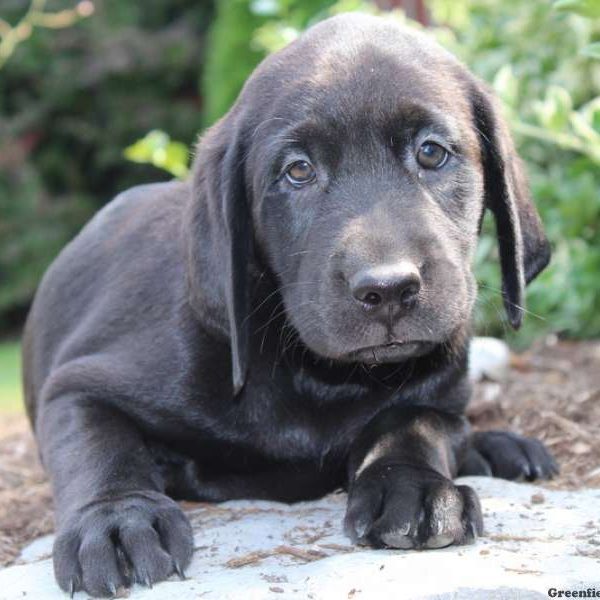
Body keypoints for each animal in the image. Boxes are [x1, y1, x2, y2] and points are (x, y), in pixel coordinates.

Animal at [23, 11, 556, 596]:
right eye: (298, 171)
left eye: (431, 152)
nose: (388, 289)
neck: (318, 375)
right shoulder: (76, 386)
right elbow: (98, 447)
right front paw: (117, 516)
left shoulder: (440, 394)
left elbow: (415, 421)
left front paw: (413, 485)